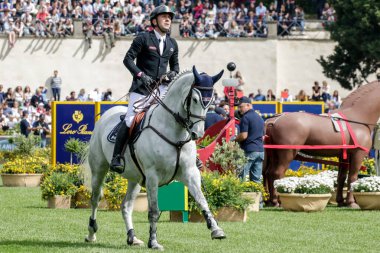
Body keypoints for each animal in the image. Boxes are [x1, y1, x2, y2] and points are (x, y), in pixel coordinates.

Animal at [83, 66, 226, 250]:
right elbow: (154, 211)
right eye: (194, 99)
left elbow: (202, 200)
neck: (175, 131)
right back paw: (91, 233)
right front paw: (154, 242)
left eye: (211, 101)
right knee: (95, 199)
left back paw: (132, 237)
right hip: (99, 169)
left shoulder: (189, 173)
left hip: (135, 178)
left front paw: (216, 230)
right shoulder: (153, 175)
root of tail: (106, 115)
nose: (197, 134)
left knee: (126, 206)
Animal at [264, 80, 380, 208]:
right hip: (287, 155)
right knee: (277, 174)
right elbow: (352, 178)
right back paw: (278, 201)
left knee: (269, 174)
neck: (357, 117)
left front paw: (341, 201)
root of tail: (274, 121)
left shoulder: (344, 156)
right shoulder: (358, 154)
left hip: (275, 155)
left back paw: (272, 201)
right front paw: (351, 203)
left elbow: (341, 177)